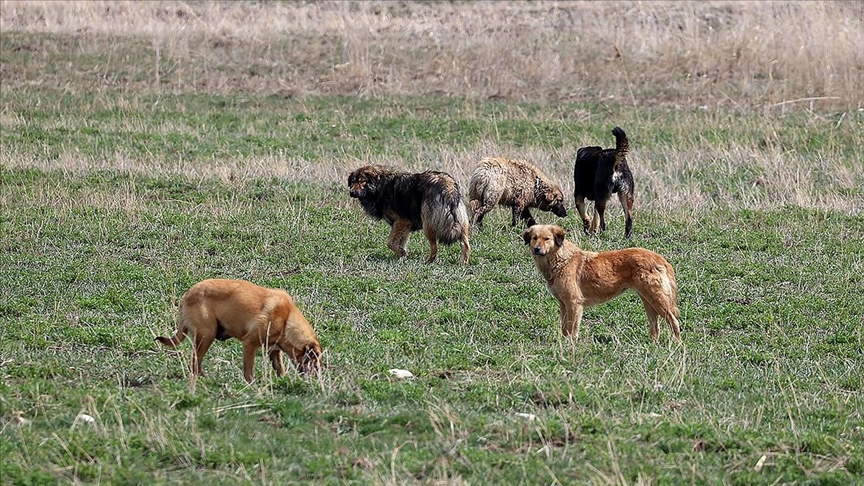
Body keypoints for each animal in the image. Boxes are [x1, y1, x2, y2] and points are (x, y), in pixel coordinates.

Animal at [154, 280, 320, 386]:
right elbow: (248, 369)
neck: (287, 319)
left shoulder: (273, 349)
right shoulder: (250, 344)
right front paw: (251, 385)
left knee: (195, 363)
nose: (319, 376)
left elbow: (280, 368)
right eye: (314, 359)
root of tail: (186, 295)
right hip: (207, 335)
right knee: (194, 362)